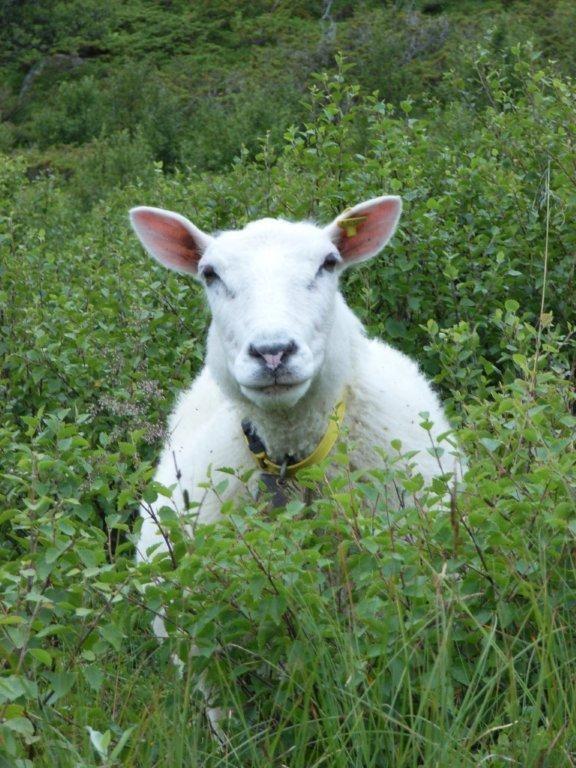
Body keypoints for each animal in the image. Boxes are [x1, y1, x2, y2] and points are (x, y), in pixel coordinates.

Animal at [129, 194, 460, 732]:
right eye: (209, 273)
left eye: (329, 263)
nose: (272, 352)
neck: (293, 460)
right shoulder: (206, 640)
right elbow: (228, 720)